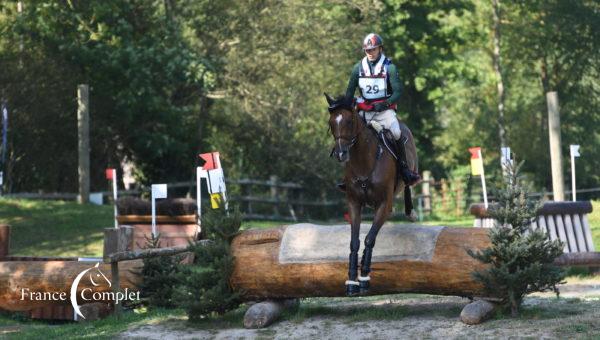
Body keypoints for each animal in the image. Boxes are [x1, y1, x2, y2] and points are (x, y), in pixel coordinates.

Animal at [326, 94, 420, 296]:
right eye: (331, 123)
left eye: (350, 121)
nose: (340, 153)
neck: (364, 160)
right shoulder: (354, 203)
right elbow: (354, 241)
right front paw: (351, 281)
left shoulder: (383, 204)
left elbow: (369, 238)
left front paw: (364, 279)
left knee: (409, 184)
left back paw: (411, 212)